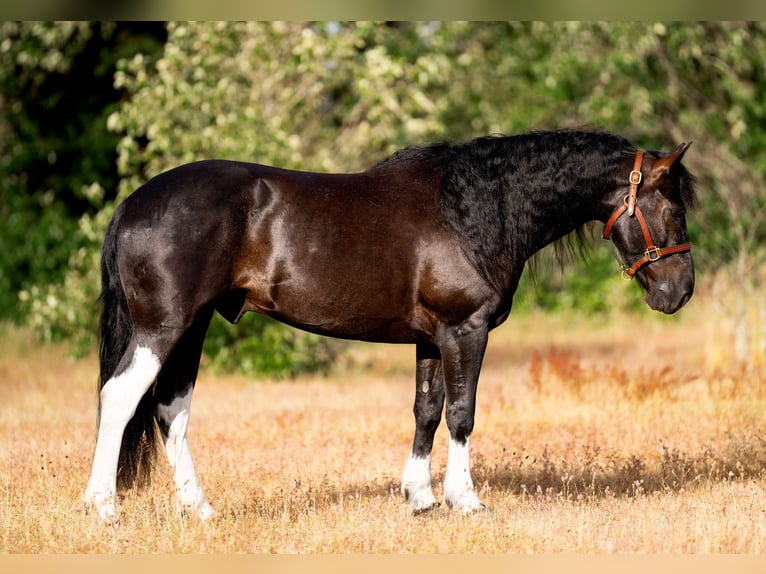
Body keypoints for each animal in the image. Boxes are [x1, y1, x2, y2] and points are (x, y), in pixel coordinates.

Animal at [82, 129, 696, 520]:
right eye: (673, 209)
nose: (679, 292)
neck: (472, 211)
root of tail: (132, 204)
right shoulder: (465, 330)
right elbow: (462, 413)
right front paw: (465, 500)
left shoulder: (431, 338)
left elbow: (427, 411)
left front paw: (419, 497)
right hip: (164, 328)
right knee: (121, 397)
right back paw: (103, 507)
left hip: (193, 327)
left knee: (170, 409)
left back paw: (200, 508)